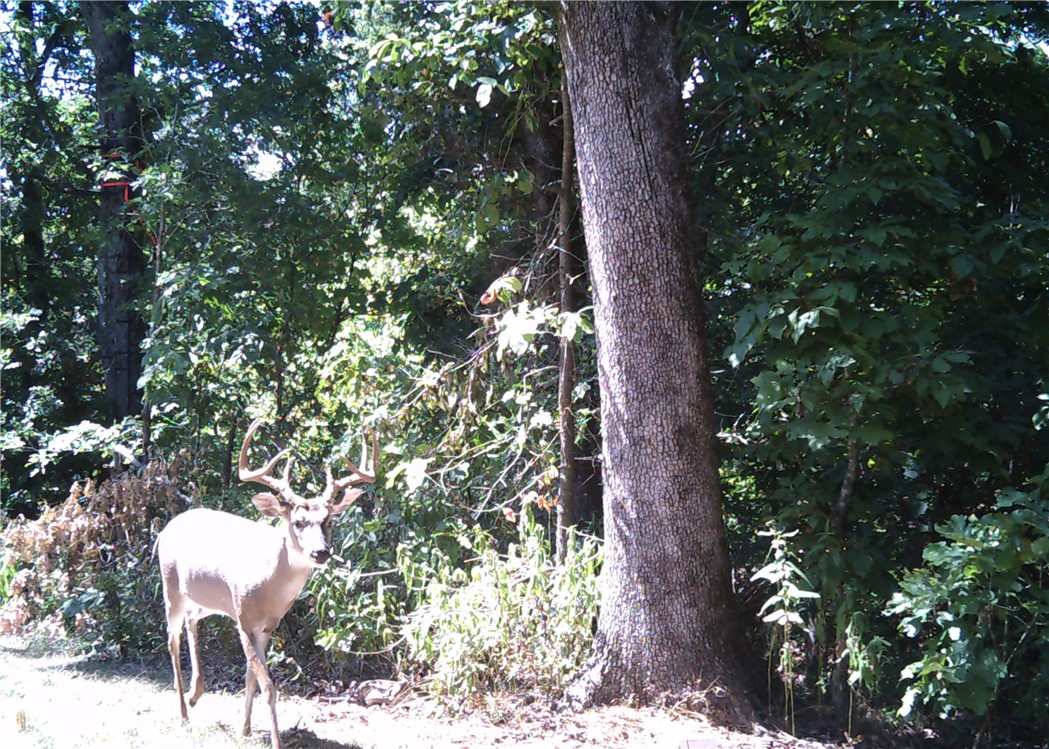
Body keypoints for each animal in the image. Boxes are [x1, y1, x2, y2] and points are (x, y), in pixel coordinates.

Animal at [156, 418, 378, 749]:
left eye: (329, 521)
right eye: (297, 522)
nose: (321, 552)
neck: (268, 586)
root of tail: (166, 527)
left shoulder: (266, 626)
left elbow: (251, 677)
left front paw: (245, 729)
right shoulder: (244, 619)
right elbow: (268, 685)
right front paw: (274, 740)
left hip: (208, 600)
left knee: (192, 621)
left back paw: (196, 694)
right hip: (171, 586)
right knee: (171, 638)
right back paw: (183, 711)